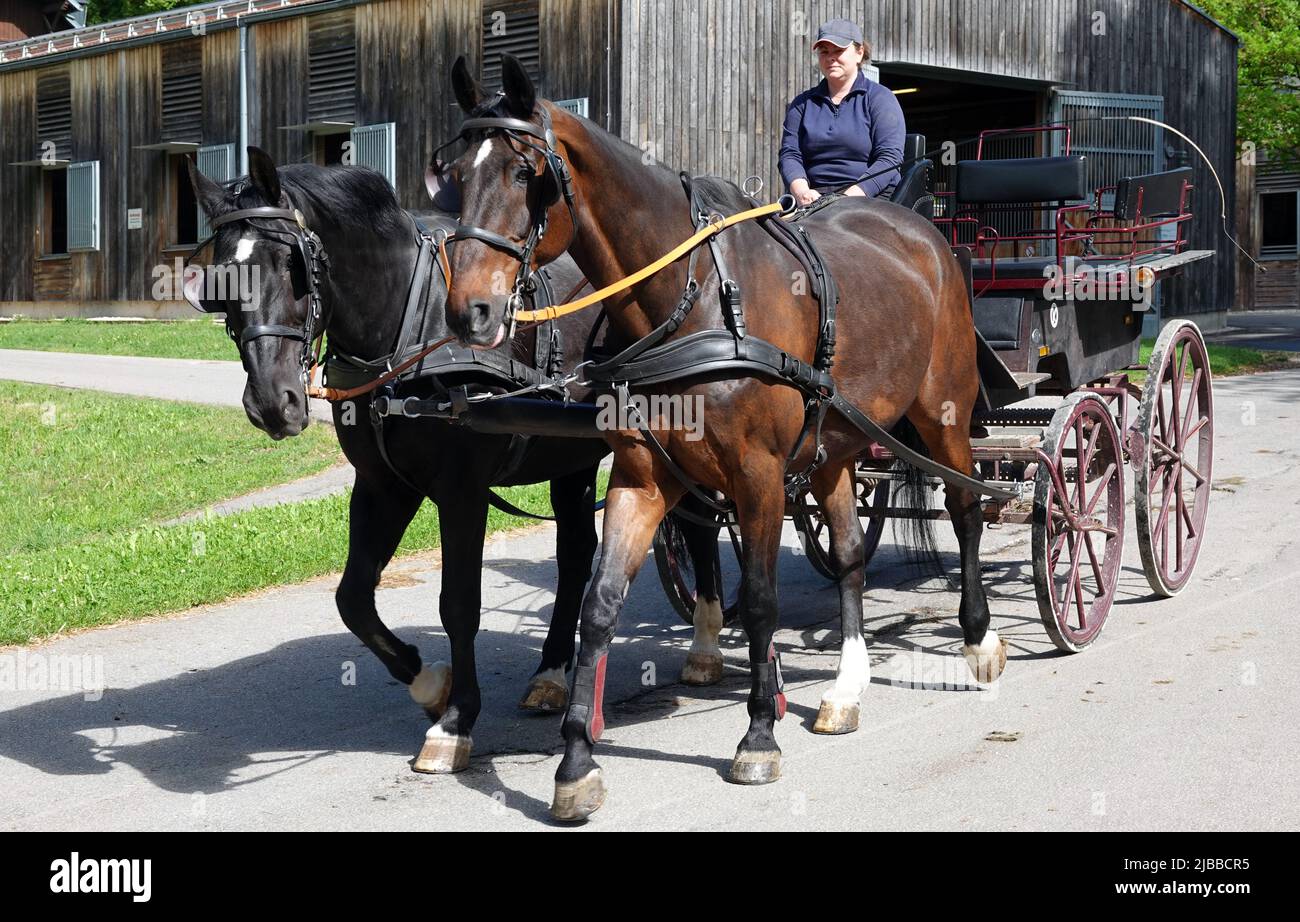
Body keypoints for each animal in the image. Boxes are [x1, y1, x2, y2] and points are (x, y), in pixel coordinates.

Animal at [183, 148, 730, 774]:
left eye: (292, 266)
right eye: (220, 283)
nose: (274, 403)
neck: (407, 327)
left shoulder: (461, 490)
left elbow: (459, 604)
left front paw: (455, 722)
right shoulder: (382, 485)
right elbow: (353, 599)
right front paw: (430, 684)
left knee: (699, 527)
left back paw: (705, 644)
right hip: (571, 455)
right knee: (576, 554)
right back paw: (550, 675)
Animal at [438, 54, 1007, 821]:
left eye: (527, 174)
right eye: (454, 173)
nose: (469, 310)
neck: (695, 298)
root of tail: (924, 234)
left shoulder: (758, 474)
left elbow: (761, 599)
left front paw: (759, 733)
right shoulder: (644, 476)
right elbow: (600, 604)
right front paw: (576, 762)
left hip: (942, 412)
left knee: (967, 508)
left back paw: (979, 640)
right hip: (834, 444)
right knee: (850, 553)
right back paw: (846, 686)